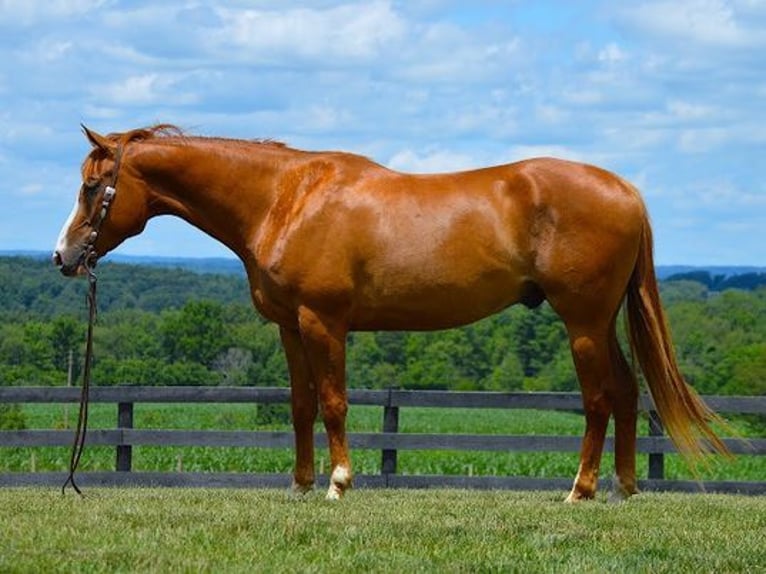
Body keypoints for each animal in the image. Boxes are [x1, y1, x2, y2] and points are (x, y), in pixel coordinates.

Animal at [55, 124, 732, 502]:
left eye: (91, 187)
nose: (63, 256)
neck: (286, 199)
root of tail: (626, 190)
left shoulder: (324, 322)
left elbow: (333, 403)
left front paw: (338, 483)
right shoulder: (290, 328)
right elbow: (300, 406)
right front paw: (299, 485)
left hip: (583, 322)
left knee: (598, 399)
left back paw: (580, 491)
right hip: (601, 322)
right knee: (627, 390)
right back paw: (624, 487)